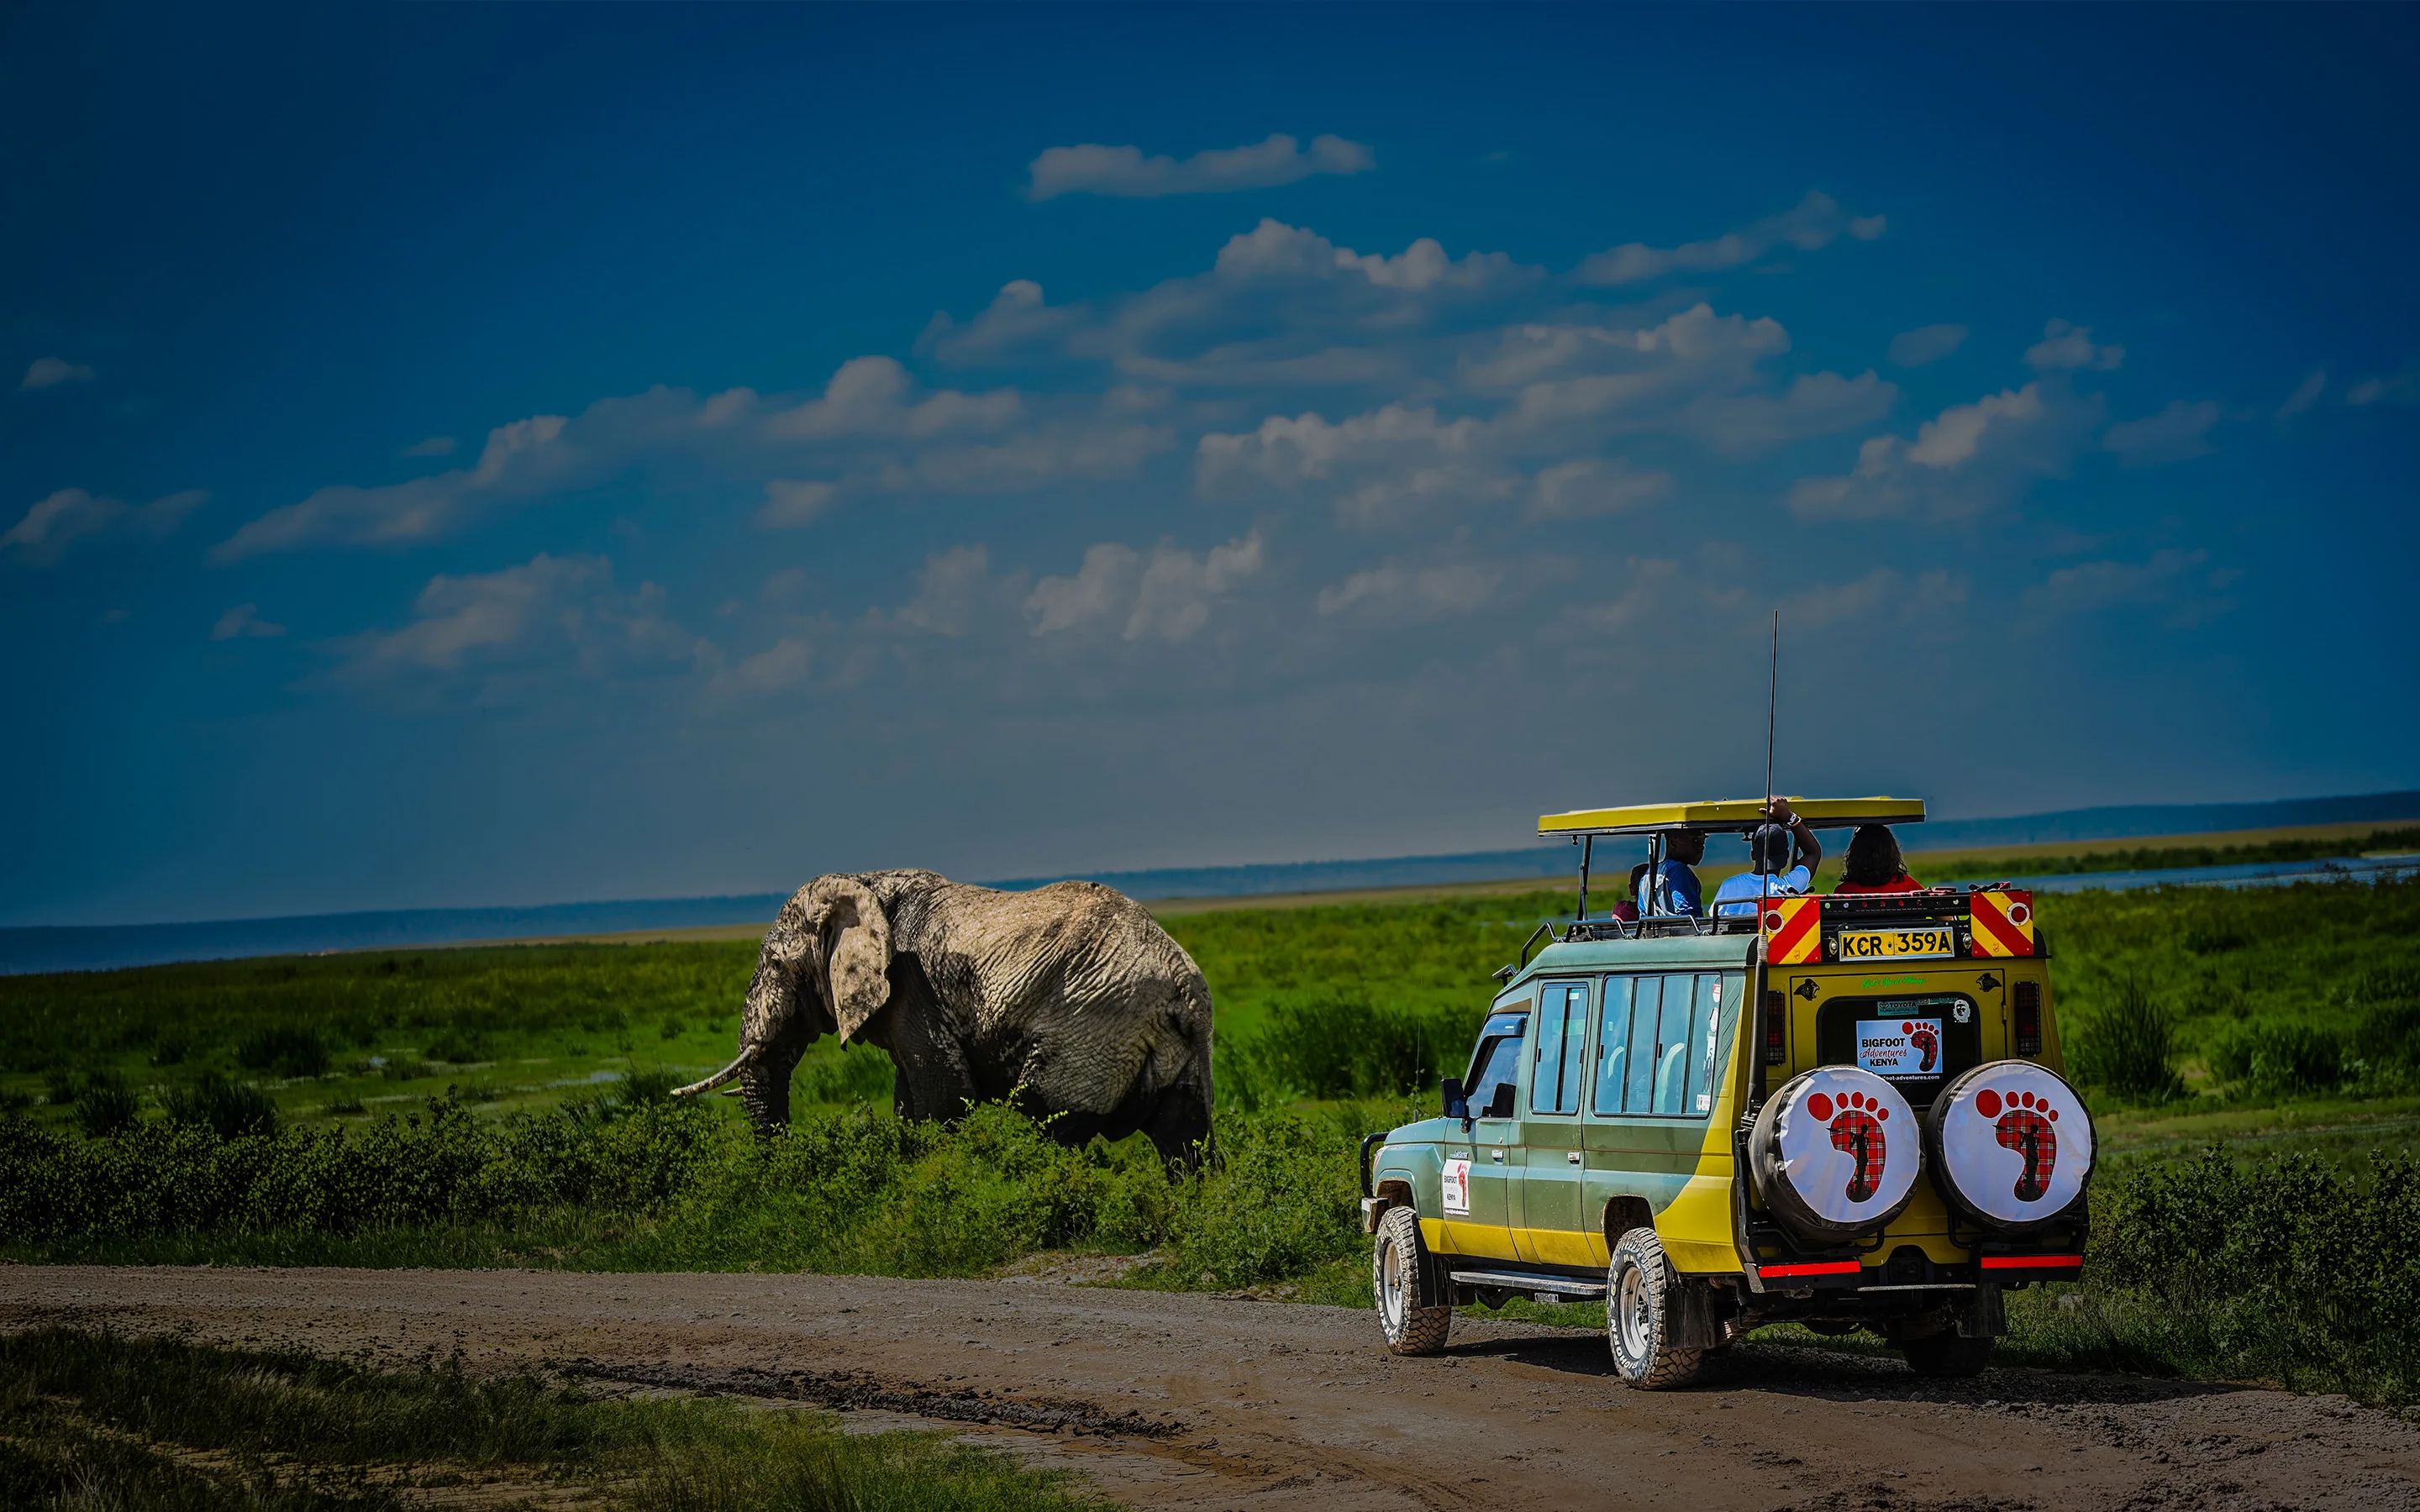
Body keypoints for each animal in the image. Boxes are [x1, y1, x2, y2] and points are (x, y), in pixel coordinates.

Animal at [673, 869, 1214, 1164]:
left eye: (777, 966)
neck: (863, 883)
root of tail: (1186, 986)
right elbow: (908, 1101)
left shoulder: (913, 989)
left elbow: (944, 1099)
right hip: (1176, 1048)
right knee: (1184, 1137)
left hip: (1093, 1032)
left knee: (1050, 1119)